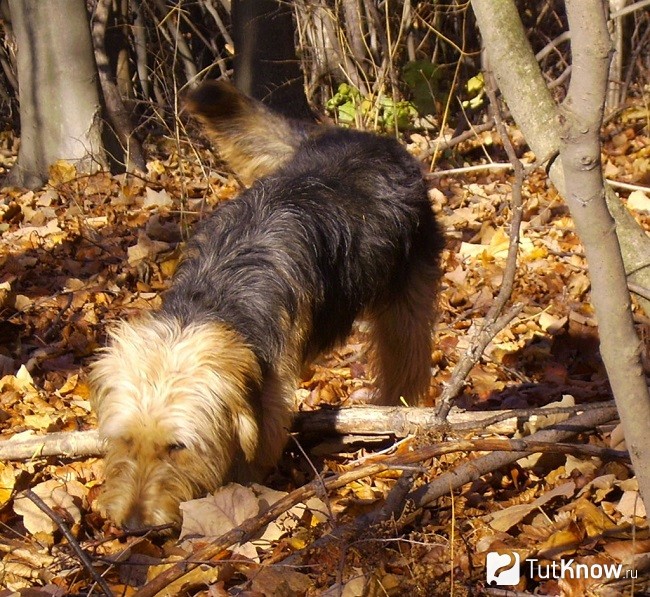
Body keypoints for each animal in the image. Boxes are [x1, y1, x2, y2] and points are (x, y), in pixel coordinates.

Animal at [88, 80, 442, 532]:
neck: (215, 295)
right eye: (124, 440)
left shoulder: (269, 402)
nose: (133, 525)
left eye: (178, 447)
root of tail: (368, 138)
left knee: (407, 353)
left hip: (407, 294)